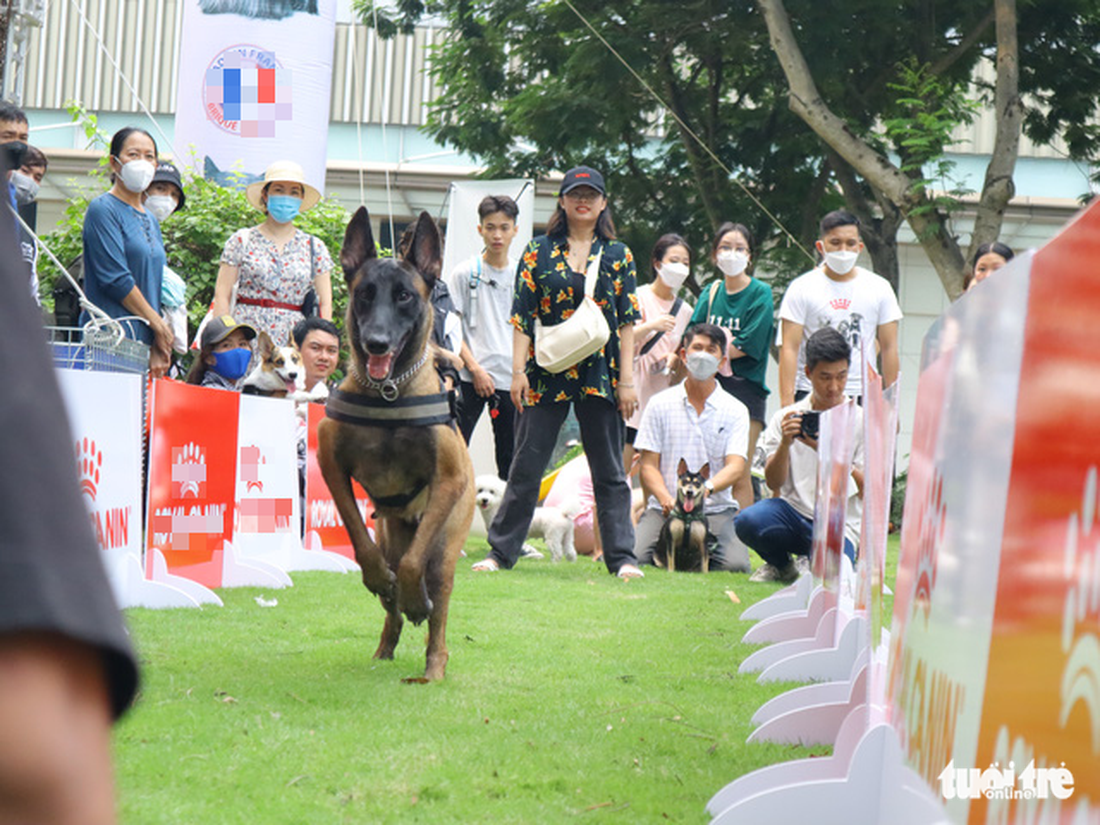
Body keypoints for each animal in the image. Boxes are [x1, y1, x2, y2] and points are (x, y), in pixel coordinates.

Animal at [316, 207, 475, 686]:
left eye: (404, 296)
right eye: (364, 294)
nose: (377, 343)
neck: (389, 393)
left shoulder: (448, 481)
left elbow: (411, 568)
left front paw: (414, 598)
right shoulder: (331, 467)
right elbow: (360, 541)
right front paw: (379, 581)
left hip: (446, 545)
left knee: (436, 603)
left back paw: (432, 663)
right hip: (391, 533)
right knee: (391, 605)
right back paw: (385, 644)